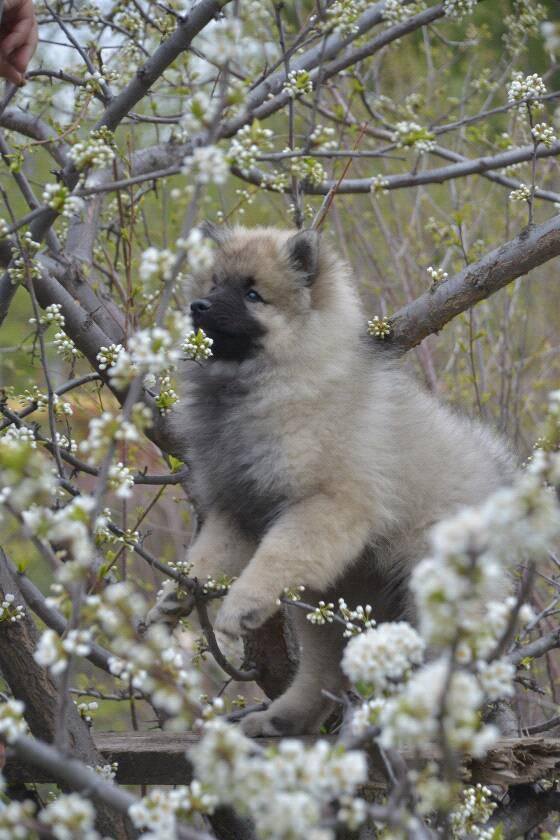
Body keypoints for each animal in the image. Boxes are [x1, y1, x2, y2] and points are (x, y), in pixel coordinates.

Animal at [176, 223, 516, 736]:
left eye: (253, 294)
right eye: (214, 285)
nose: (198, 306)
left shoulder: (326, 504)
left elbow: (271, 560)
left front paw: (240, 607)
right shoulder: (239, 510)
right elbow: (205, 556)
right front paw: (174, 595)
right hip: (336, 600)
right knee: (323, 671)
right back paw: (283, 718)